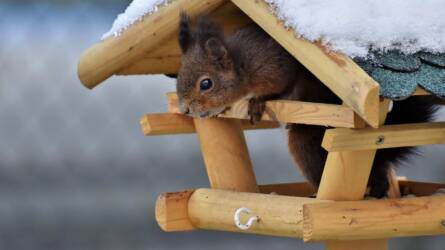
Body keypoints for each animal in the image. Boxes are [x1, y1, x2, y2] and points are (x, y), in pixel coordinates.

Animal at [174, 14, 438, 198]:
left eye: (206, 83)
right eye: (179, 76)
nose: (186, 109)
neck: (241, 65)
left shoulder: (274, 67)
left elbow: (279, 88)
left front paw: (257, 102)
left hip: (305, 144)